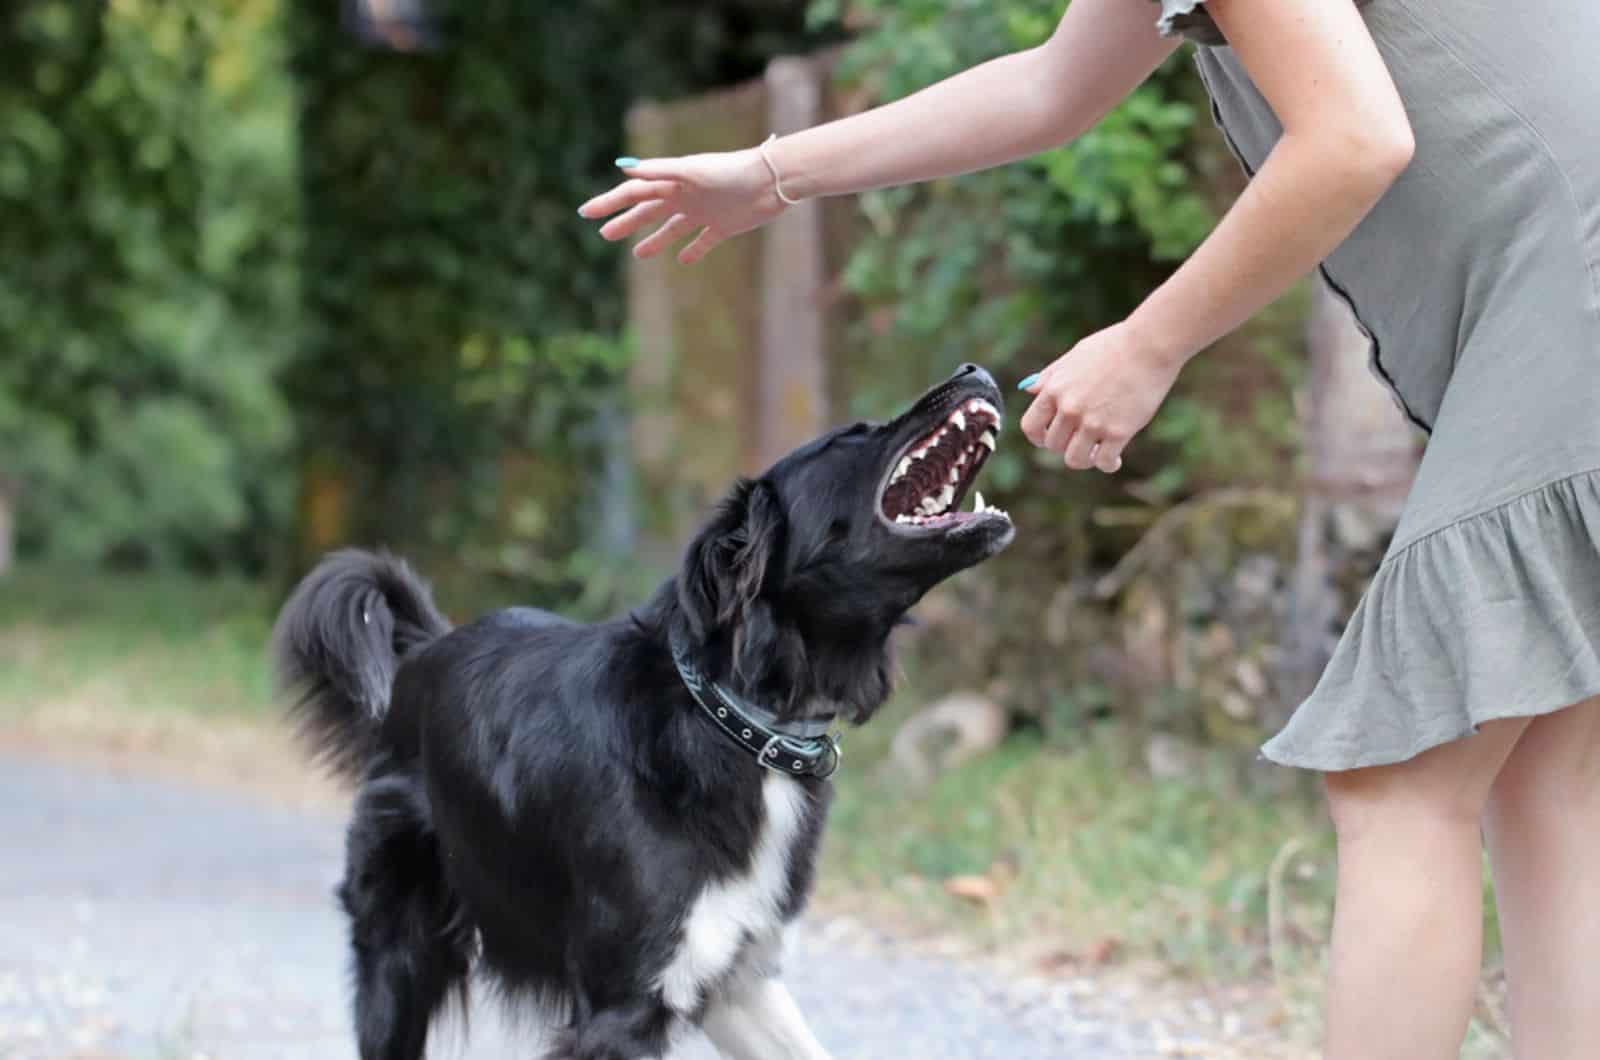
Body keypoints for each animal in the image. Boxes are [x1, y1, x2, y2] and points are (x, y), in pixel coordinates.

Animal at [276, 365, 1017, 1060]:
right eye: (850, 437)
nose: (976, 371)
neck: (735, 722)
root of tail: (423, 651)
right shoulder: (621, 1008)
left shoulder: (737, 978)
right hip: (400, 956)